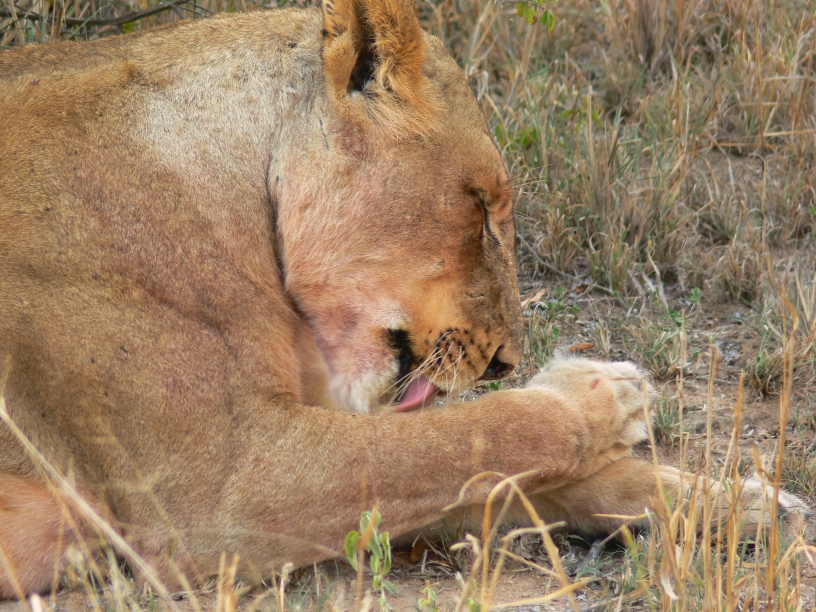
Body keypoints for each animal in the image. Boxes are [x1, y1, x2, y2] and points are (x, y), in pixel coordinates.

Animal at [0, 0, 806, 599]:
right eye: (480, 206)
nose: (505, 362)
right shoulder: (221, 492)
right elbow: (476, 435)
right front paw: (604, 393)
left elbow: (496, 470)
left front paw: (747, 504)